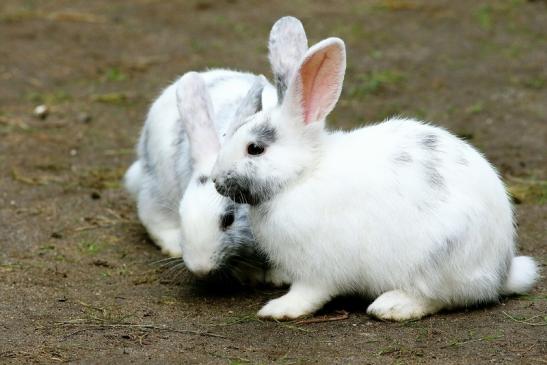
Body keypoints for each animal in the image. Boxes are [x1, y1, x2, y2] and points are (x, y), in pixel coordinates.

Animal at [211, 17, 540, 318]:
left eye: (255, 149)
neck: (301, 176)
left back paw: (392, 306)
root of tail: (500, 270)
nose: (215, 181)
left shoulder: (317, 270)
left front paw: (278, 309)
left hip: (439, 259)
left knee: (443, 297)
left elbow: (308, 293)